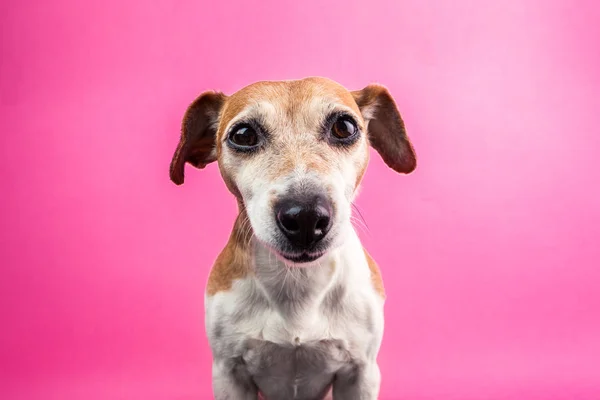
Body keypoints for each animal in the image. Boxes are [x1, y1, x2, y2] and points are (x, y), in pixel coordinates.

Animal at [166, 76, 414, 398]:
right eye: (243, 135)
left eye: (344, 127)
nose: (305, 216)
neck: (298, 280)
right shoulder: (229, 374)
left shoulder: (361, 374)